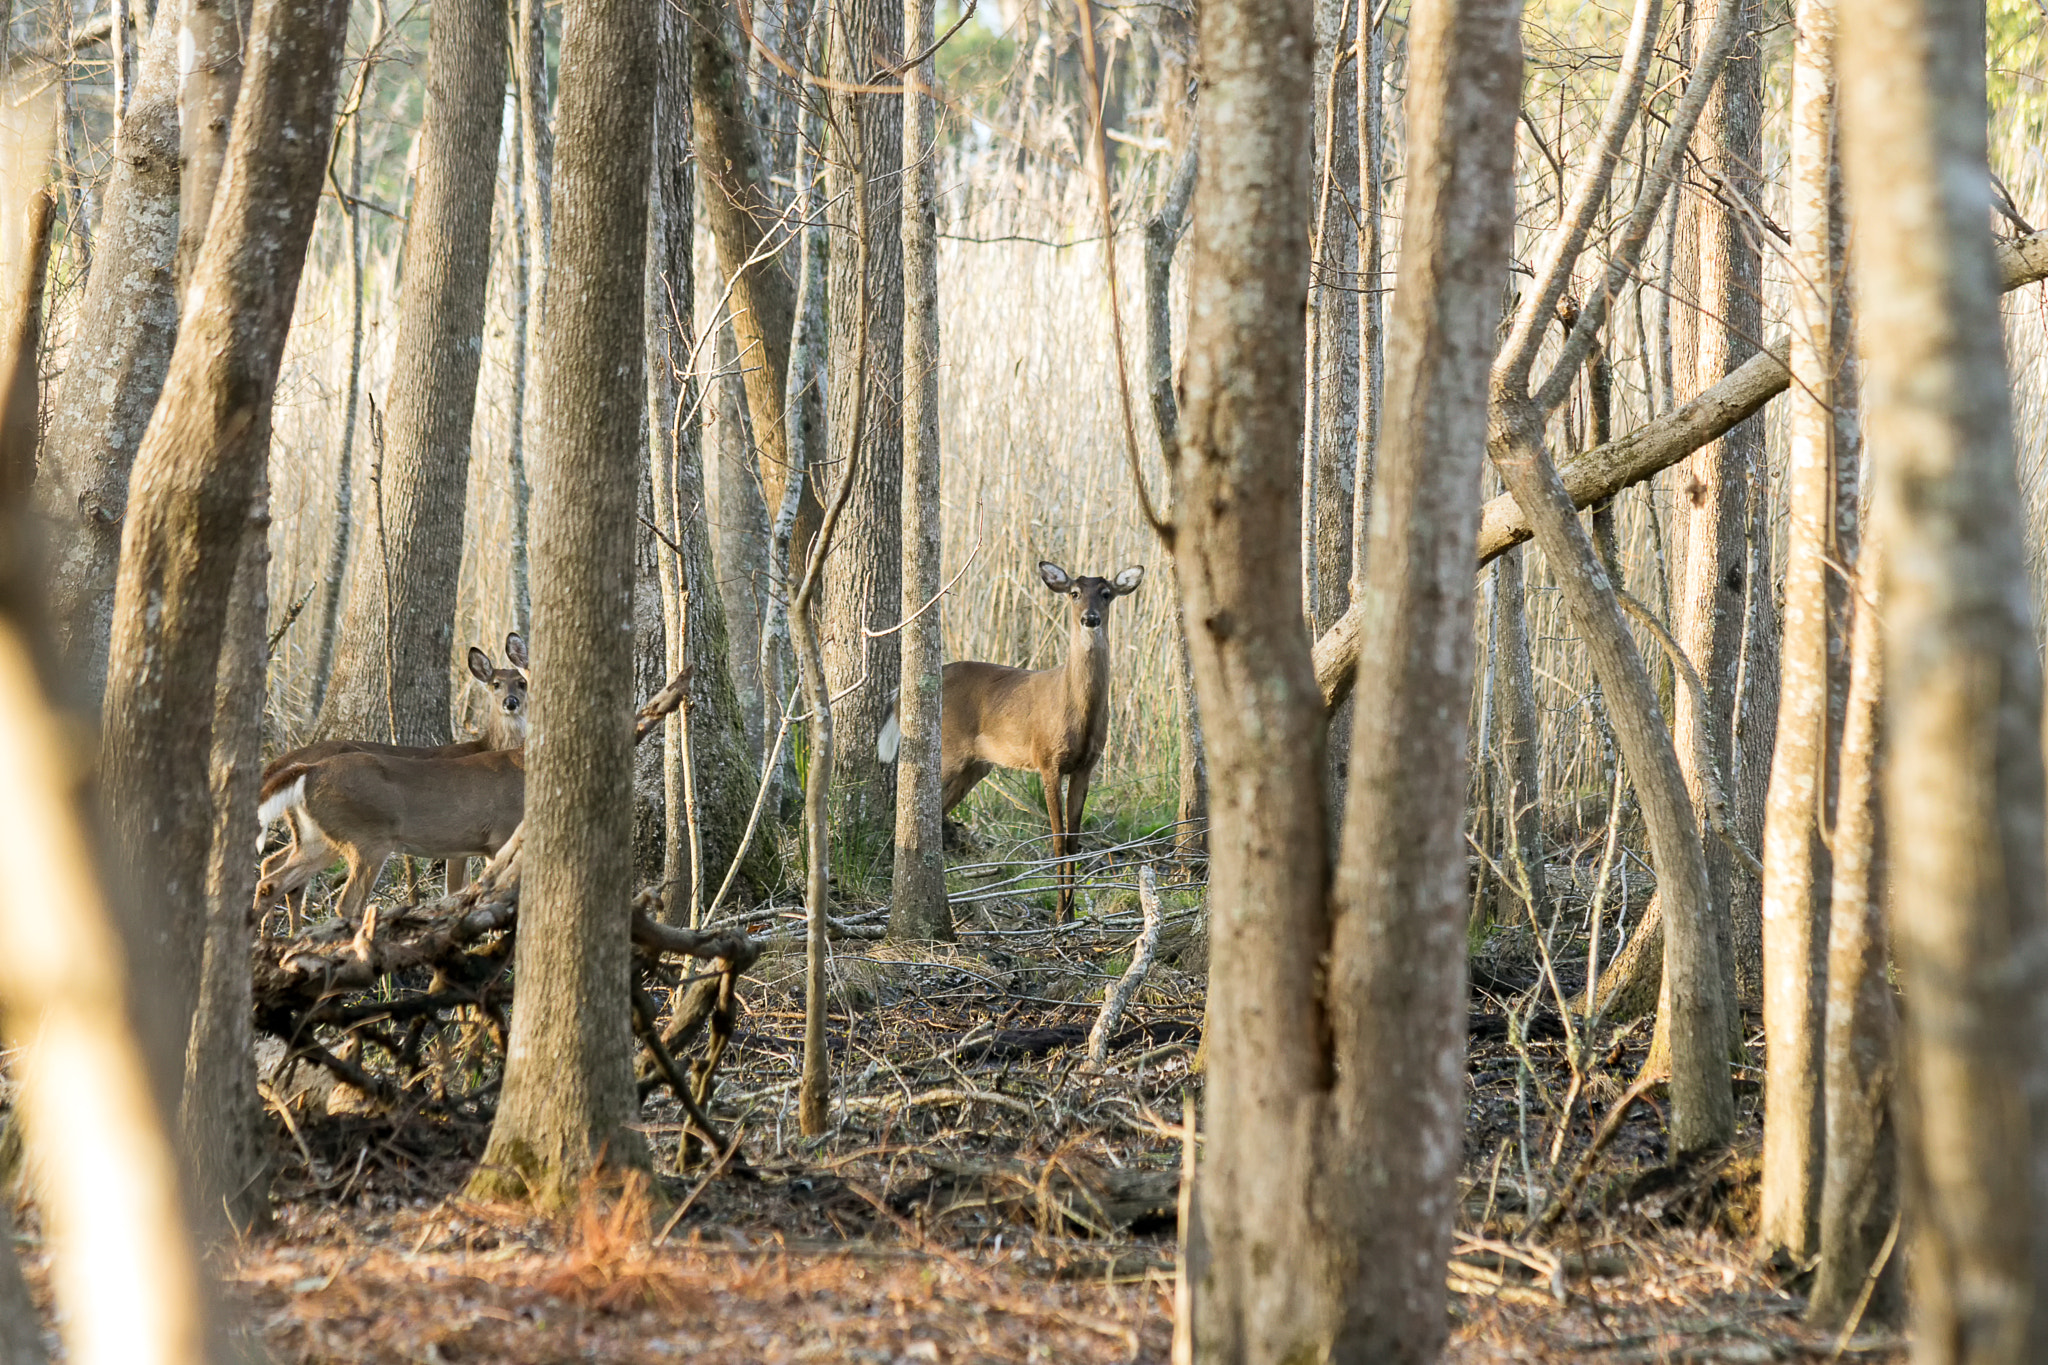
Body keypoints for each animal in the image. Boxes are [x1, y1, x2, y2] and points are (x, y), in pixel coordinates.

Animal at [254, 633, 528, 933]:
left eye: (522, 683)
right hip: (368, 838)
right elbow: (466, 891)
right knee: (343, 901)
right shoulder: (493, 836)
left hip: (318, 837)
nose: (511, 702)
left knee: (273, 876)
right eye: (496, 683)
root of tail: (302, 767)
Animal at [878, 560, 1143, 923]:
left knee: (937, 810)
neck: (1076, 710)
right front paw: (1059, 916)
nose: (1090, 618)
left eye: (1106, 593)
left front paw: (1071, 914)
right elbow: (1057, 840)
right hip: (948, 752)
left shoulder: (1086, 766)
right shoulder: (1046, 759)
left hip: (975, 766)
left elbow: (1074, 842)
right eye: (1074, 593)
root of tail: (902, 692)